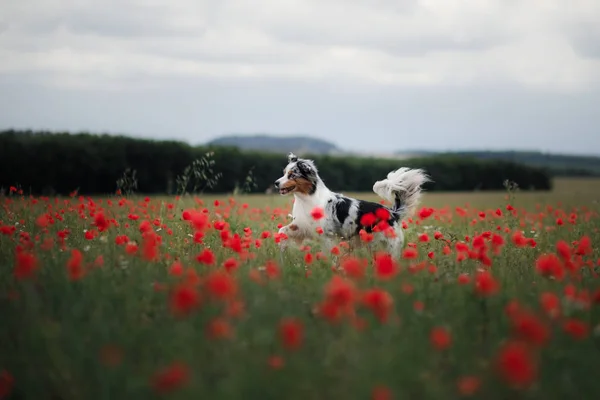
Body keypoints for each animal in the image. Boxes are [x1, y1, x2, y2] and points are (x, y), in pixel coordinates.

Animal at [274, 152, 428, 255]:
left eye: (292, 175)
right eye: (284, 173)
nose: (276, 183)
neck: (307, 199)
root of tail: (392, 212)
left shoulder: (328, 236)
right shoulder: (301, 226)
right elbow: (282, 231)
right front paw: (282, 248)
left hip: (389, 245)